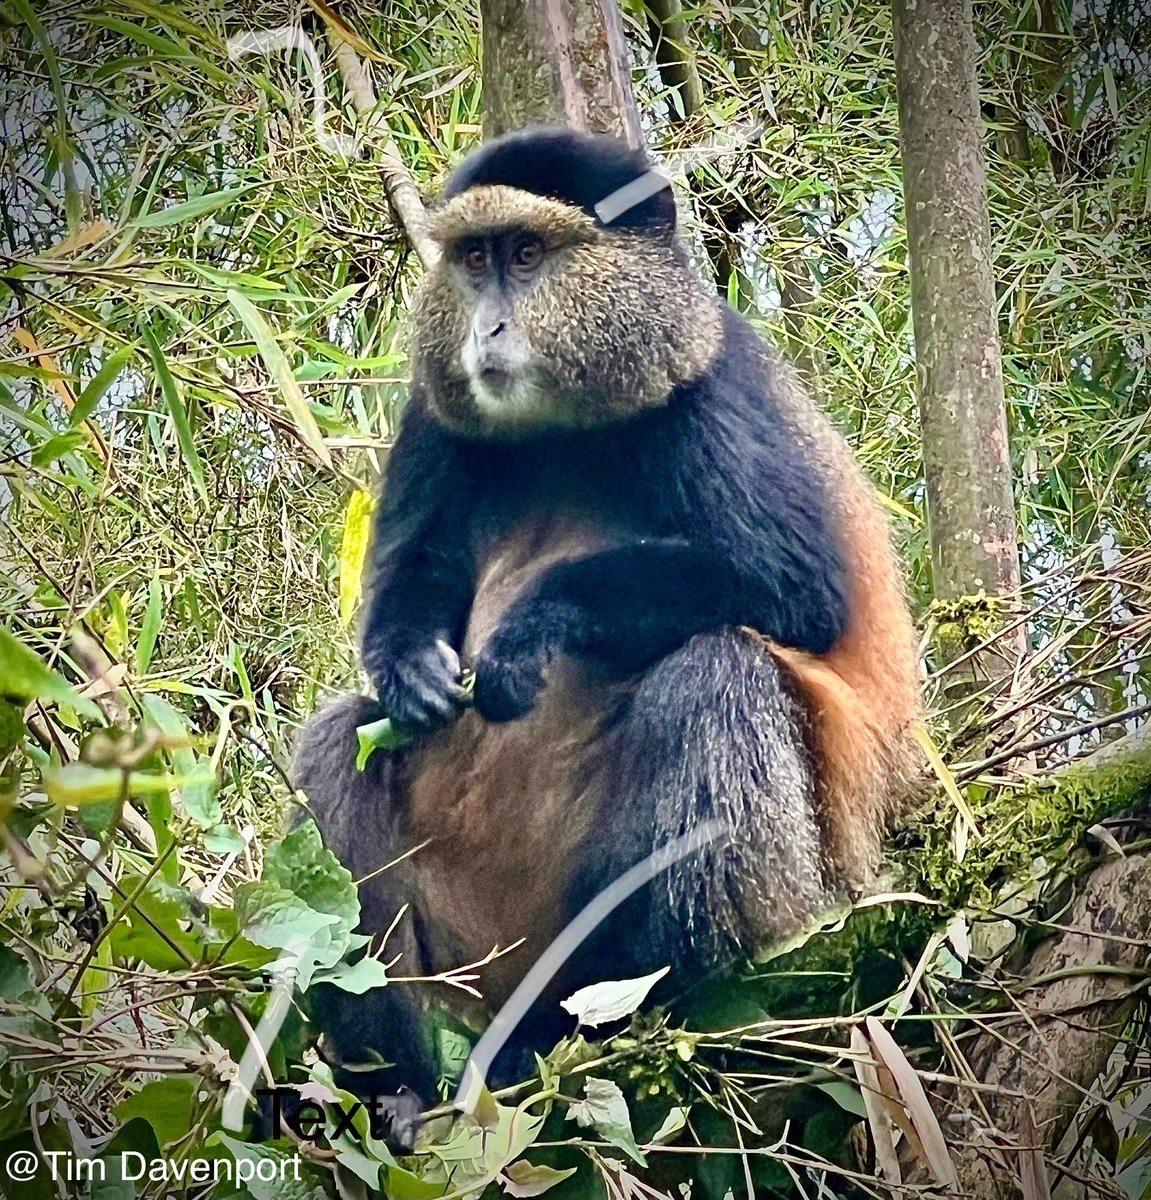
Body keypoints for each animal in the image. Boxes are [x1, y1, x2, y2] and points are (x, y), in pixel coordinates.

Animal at [293, 125, 923, 1134]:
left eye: (526, 255)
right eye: (474, 259)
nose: (487, 328)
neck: (563, 426)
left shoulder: (712, 387)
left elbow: (797, 589)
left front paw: (531, 629)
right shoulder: (436, 413)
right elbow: (408, 580)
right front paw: (410, 668)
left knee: (716, 674)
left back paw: (591, 1021)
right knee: (338, 740)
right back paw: (391, 1094)